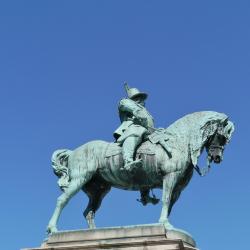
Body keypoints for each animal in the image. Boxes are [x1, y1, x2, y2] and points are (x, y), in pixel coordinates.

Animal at [46, 111, 234, 234]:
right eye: (221, 136)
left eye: (225, 139)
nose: (217, 157)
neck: (179, 141)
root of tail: (73, 152)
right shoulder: (170, 177)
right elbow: (165, 200)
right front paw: (164, 224)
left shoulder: (178, 188)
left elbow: (169, 205)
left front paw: (165, 224)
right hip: (80, 178)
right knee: (62, 200)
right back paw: (53, 229)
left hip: (98, 190)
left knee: (88, 212)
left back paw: (93, 233)